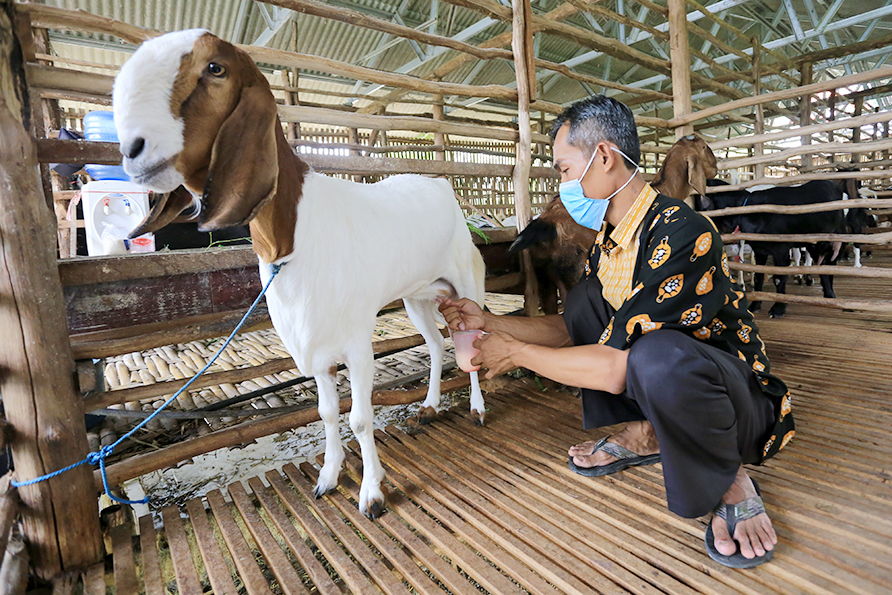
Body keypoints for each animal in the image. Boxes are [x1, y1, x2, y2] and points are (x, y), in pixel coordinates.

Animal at [115, 30, 488, 520]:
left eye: (215, 68)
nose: (132, 150)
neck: (289, 243)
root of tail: (443, 186)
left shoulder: (356, 342)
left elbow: (360, 417)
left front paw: (372, 493)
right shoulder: (316, 347)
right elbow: (327, 413)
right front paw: (329, 476)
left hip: (465, 283)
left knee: (472, 342)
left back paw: (479, 408)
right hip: (418, 297)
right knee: (436, 343)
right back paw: (428, 406)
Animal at [696, 179, 844, 318]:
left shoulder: (781, 251)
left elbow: (779, 278)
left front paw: (778, 309)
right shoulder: (760, 250)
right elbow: (759, 276)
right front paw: (755, 305)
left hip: (833, 237)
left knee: (829, 261)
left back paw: (830, 294)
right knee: (821, 264)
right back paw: (827, 293)